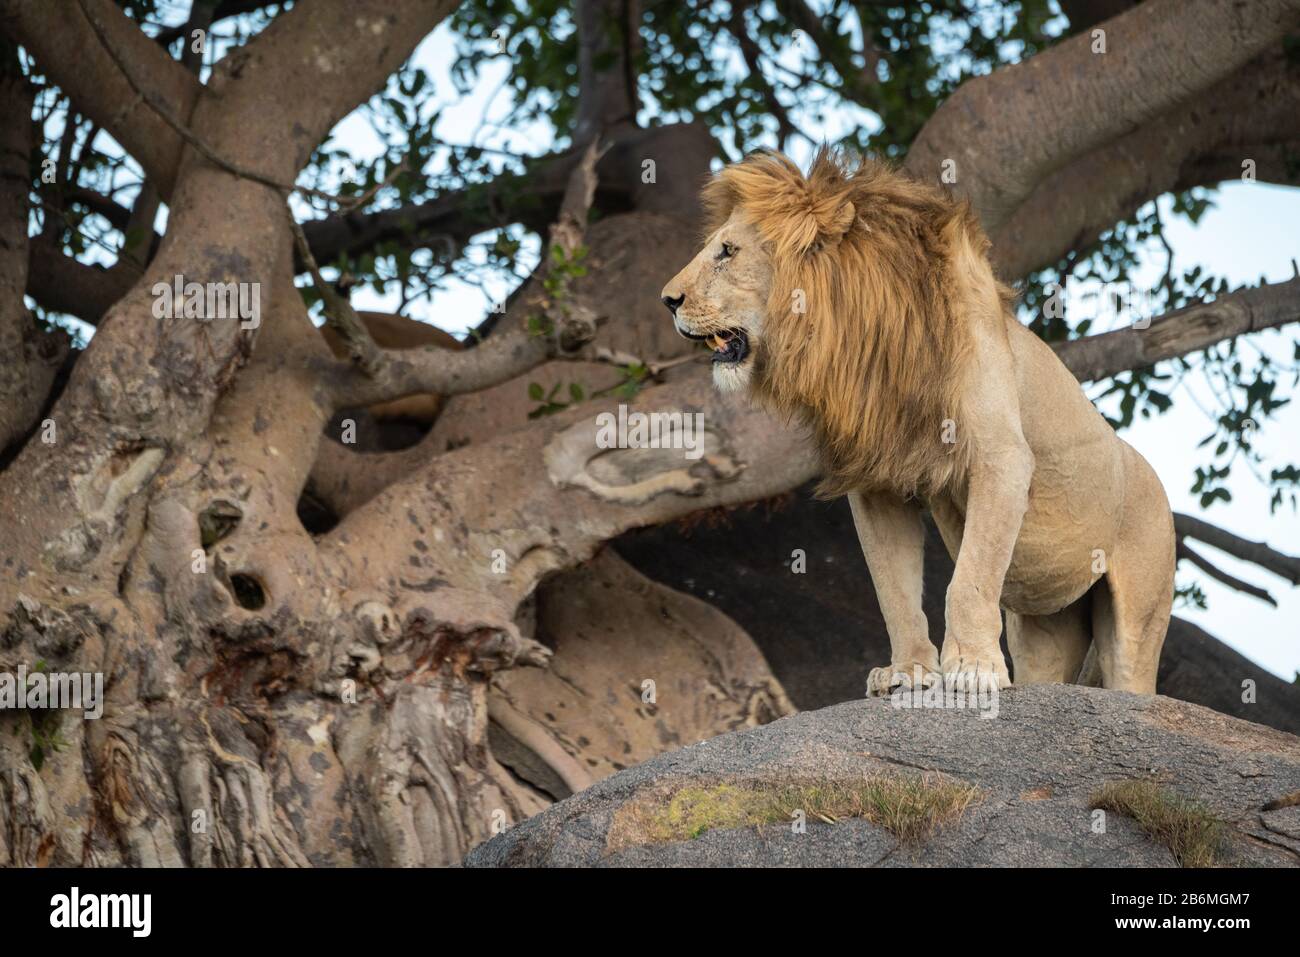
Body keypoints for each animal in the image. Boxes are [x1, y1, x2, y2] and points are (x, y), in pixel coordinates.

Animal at [661, 149, 1175, 696]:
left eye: (727, 251)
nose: (667, 300)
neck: (863, 341)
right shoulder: (877, 481)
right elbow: (894, 588)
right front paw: (908, 672)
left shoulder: (1001, 458)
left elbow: (969, 579)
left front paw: (971, 667)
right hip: (1046, 623)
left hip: (1139, 611)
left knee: (1131, 675)